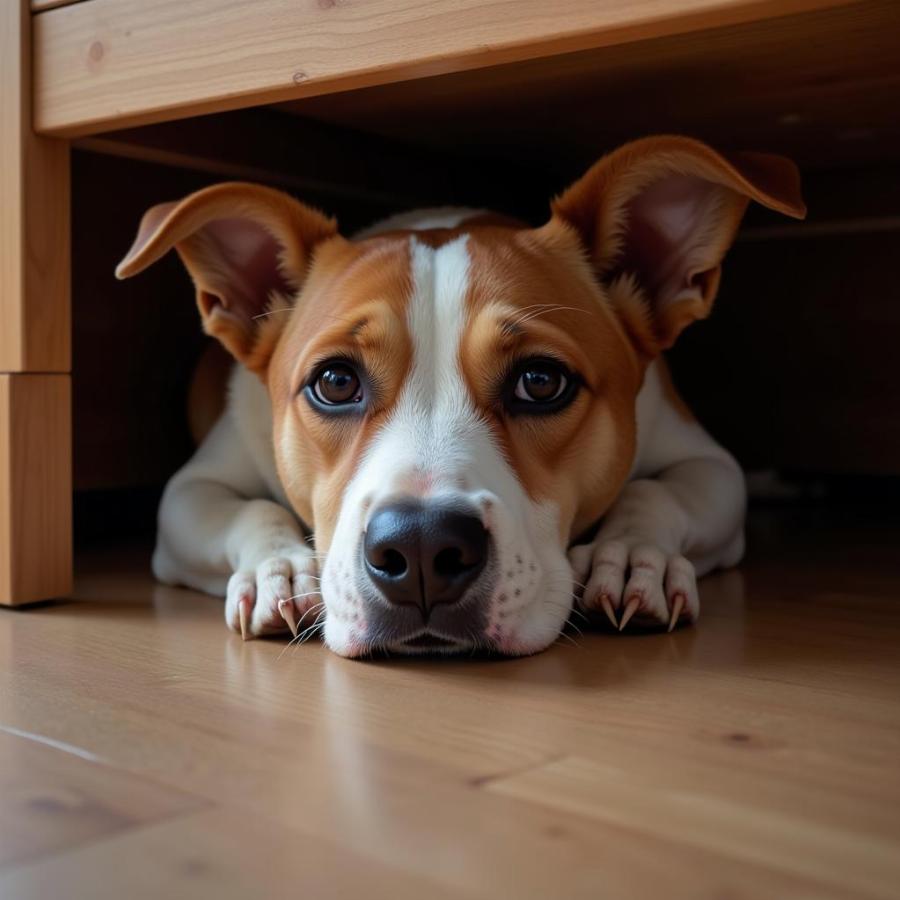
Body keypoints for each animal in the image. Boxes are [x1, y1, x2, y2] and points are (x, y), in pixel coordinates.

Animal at [116, 134, 804, 656]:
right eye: (335, 382)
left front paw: (634, 555)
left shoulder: (706, 463)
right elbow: (248, 508)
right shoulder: (191, 489)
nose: (420, 548)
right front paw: (278, 569)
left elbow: (656, 491)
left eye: (541, 381)